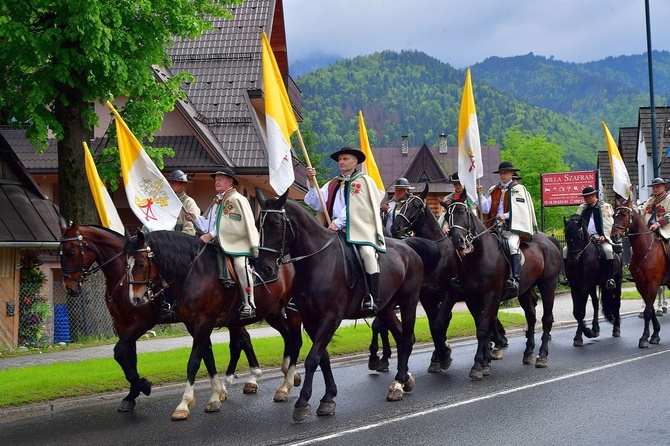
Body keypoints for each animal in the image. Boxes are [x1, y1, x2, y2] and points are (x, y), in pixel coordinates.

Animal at [124, 228, 304, 420]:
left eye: (141, 263)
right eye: (127, 265)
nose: (134, 298)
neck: (194, 273)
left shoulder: (204, 323)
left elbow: (194, 362)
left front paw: (184, 404)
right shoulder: (194, 326)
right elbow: (208, 358)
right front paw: (215, 395)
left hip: (292, 309)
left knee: (295, 340)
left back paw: (285, 385)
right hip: (272, 312)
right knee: (287, 337)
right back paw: (287, 378)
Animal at [255, 188, 438, 422]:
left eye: (277, 224)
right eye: (258, 222)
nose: (264, 268)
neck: (317, 262)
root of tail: (408, 246)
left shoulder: (331, 317)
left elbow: (312, 358)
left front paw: (303, 401)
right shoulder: (311, 319)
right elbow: (322, 357)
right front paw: (328, 397)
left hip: (408, 303)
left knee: (406, 339)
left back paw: (397, 383)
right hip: (386, 308)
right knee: (401, 336)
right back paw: (405, 379)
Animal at [446, 200, 568, 378]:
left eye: (463, 212)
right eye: (447, 216)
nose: (459, 241)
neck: (479, 257)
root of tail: (548, 240)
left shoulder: (491, 296)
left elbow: (483, 329)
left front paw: (478, 365)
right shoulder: (472, 299)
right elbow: (483, 327)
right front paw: (486, 362)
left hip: (548, 285)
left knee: (546, 319)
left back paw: (542, 356)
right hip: (525, 291)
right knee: (531, 317)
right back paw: (528, 352)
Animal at [560, 213, 624, 344]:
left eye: (579, 237)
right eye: (566, 235)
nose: (572, 261)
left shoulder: (584, 286)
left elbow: (580, 311)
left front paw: (581, 335)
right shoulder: (575, 286)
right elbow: (577, 311)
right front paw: (585, 332)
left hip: (617, 281)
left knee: (616, 304)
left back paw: (616, 329)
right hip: (593, 285)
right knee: (595, 303)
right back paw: (595, 328)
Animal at [616, 198, 668, 348]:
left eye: (624, 214)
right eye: (614, 215)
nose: (615, 235)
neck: (645, 251)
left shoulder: (653, 283)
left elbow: (648, 311)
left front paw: (644, 338)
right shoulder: (641, 284)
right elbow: (649, 309)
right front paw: (655, 334)